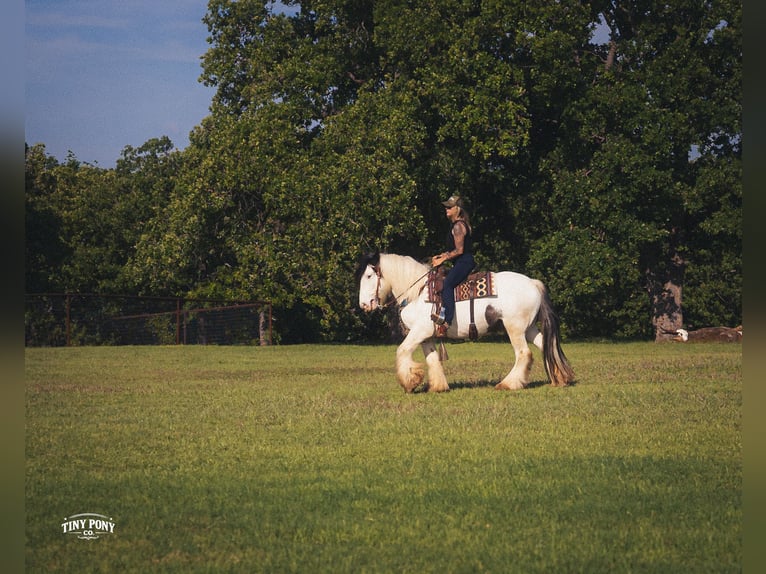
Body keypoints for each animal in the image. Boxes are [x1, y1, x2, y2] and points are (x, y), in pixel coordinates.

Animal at [356, 252, 575, 393]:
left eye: (369, 275)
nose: (364, 305)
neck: (417, 292)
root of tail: (533, 283)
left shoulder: (419, 331)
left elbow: (401, 351)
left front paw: (410, 382)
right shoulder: (426, 336)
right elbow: (433, 359)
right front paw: (437, 386)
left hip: (515, 328)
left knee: (524, 354)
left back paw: (508, 384)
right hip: (529, 328)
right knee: (547, 346)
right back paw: (561, 379)